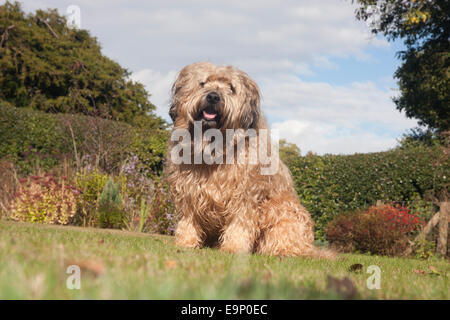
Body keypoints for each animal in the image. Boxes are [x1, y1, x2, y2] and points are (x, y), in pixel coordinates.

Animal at [167, 62, 332, 258]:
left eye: (231, 88)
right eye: (203, 83)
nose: (213, 96)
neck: (214, 148)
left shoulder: (246, 194)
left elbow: (240, 222)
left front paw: (233, 247)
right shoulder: (188, 191)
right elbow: (188, 218)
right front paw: (186, 242)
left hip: (284, 210)